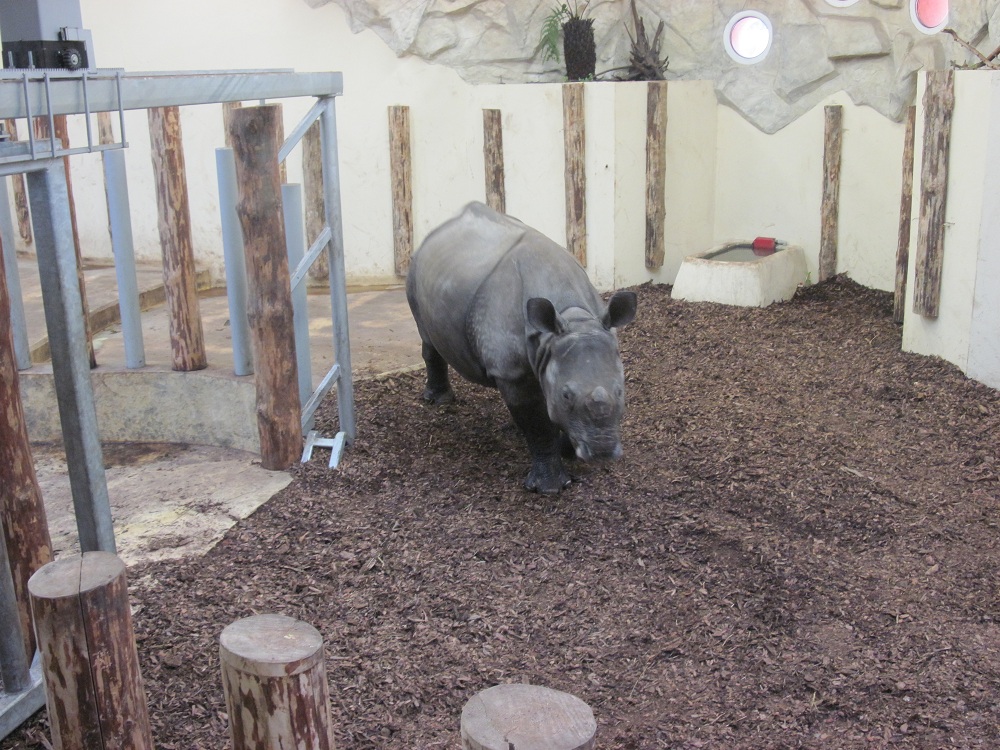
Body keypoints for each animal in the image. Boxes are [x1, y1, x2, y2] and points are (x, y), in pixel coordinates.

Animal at [405, 202, 637, 494]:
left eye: (620, 391)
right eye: (566, 395)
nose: (602, 453)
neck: (574, 316)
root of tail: (437, 231)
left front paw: (568, 451)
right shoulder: (511, 372)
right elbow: (536, 424)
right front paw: (550, 487)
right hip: (414, 270)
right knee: (426, 336)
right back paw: (438, 401)